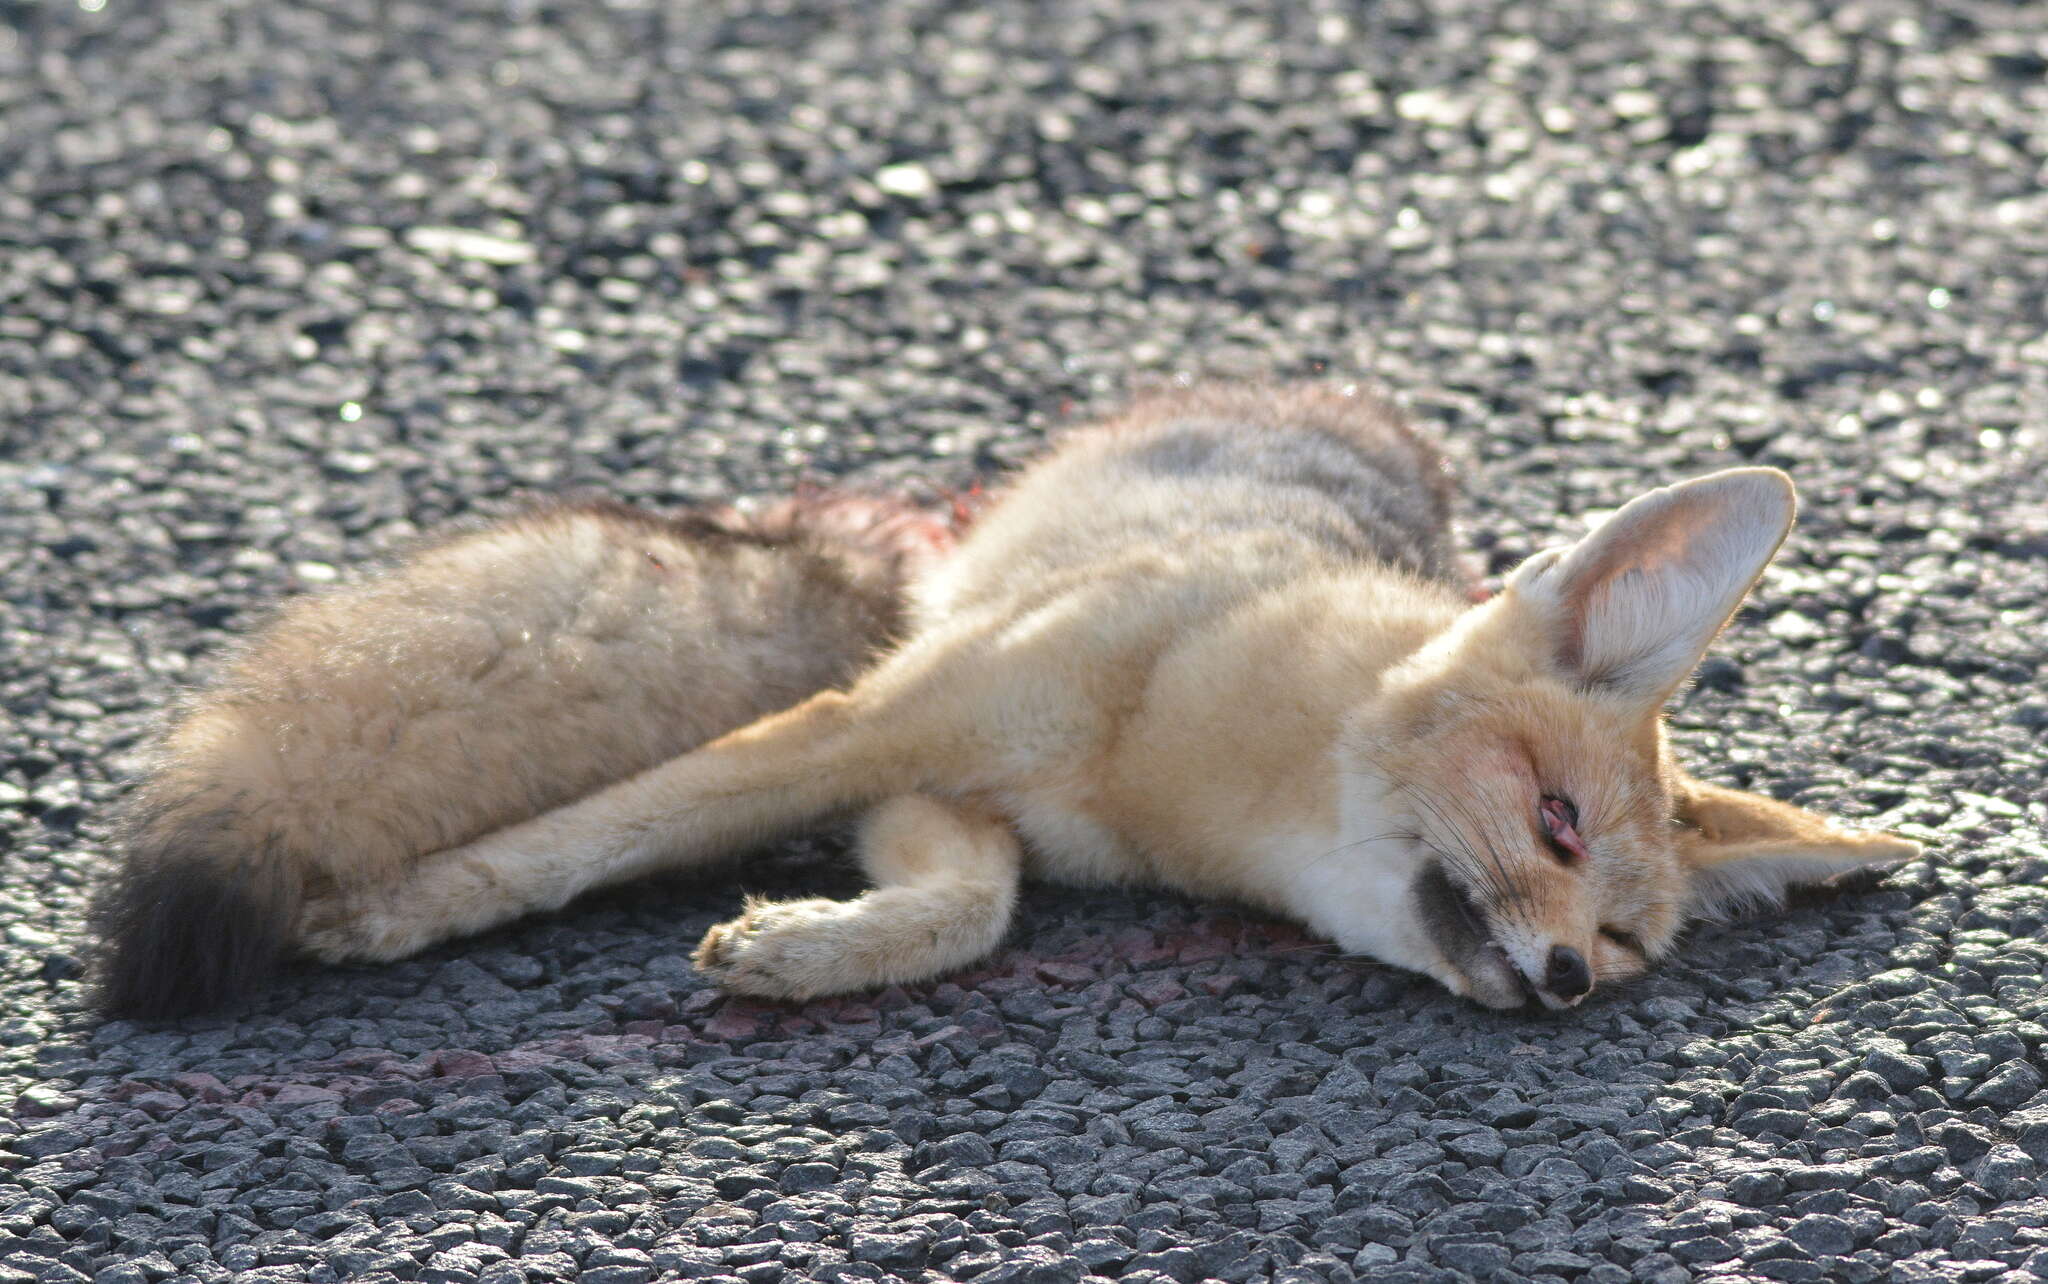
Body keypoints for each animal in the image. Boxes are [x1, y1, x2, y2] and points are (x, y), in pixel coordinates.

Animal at [96, 380, 1916, 1015]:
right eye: (1550, 822)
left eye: (1625, 942)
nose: (1565, 983)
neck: (1167, 750)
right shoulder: (881, 729)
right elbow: (581, 836)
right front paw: (402, 909)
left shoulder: (939, 796)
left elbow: (968, 916)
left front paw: (801, 951)